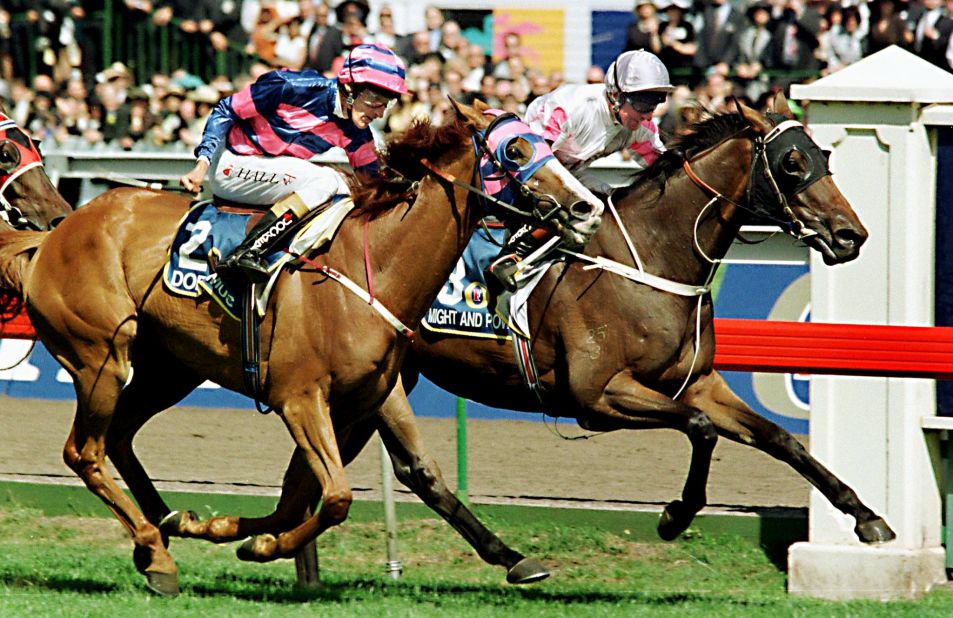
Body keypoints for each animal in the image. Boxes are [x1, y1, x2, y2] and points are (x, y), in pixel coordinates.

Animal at [0, 98, 600, 596]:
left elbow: (304, 500)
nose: (587, 208)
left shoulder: (364, 401)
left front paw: (223, 530)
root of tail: (53, 234)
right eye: (517, 149)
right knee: (85, 452)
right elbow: (334, 498)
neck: (376, 270)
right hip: (100, 356)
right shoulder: (300, 398)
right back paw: (156, 552)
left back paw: (163, 529)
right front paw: (259, 544)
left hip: (169, 367)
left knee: (120, 436)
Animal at [216, 95, 892, 568]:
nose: (851, 235)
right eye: (793, 162)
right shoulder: (598, 396)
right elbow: (700, 430)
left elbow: (780, 440)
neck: (651, 258)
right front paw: (674, 516)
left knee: (322, 472)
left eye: (827, 156)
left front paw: (866, 517)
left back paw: (245, 536)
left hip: (375, 382)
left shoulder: (697, 383)